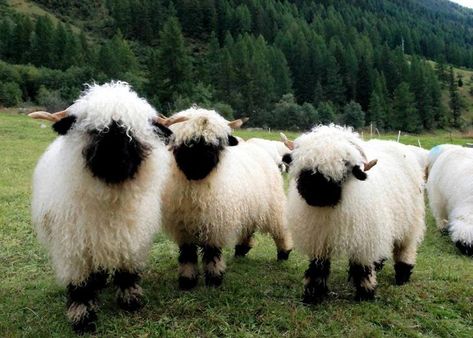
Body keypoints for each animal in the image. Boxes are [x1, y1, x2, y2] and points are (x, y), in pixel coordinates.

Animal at [28, 81, 171, 332]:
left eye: (132, 133)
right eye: (95, 131)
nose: (116, 161)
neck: (109, 200)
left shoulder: (130, 239)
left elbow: (127, 271)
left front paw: (130, 301)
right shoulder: (74, 248)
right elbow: (80, 285)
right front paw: (82, 317)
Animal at [160, 107, 292, 290]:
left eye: (216, 144)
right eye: (188, 143)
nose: (199, 166)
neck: (196, 188)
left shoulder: (215, 224)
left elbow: (212, 253)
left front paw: (214, 279)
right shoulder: (183, 227)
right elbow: (187, 255)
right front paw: (187, 281)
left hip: (273, 204)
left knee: (280, 229)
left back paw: (284, 253)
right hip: (249, 206)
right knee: (248, 227)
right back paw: (241, 250)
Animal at [280, 125, 424, 304]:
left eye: (344, 165)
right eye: (304, 164)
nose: (314, 193)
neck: (329, 209)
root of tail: (392, 142)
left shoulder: (363, 238)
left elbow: (361, 267)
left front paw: (366, 293)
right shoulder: (319, 238)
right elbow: (318, 268)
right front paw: (313, 294)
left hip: (410, 222)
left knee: (406, 248)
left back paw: (402, 276)